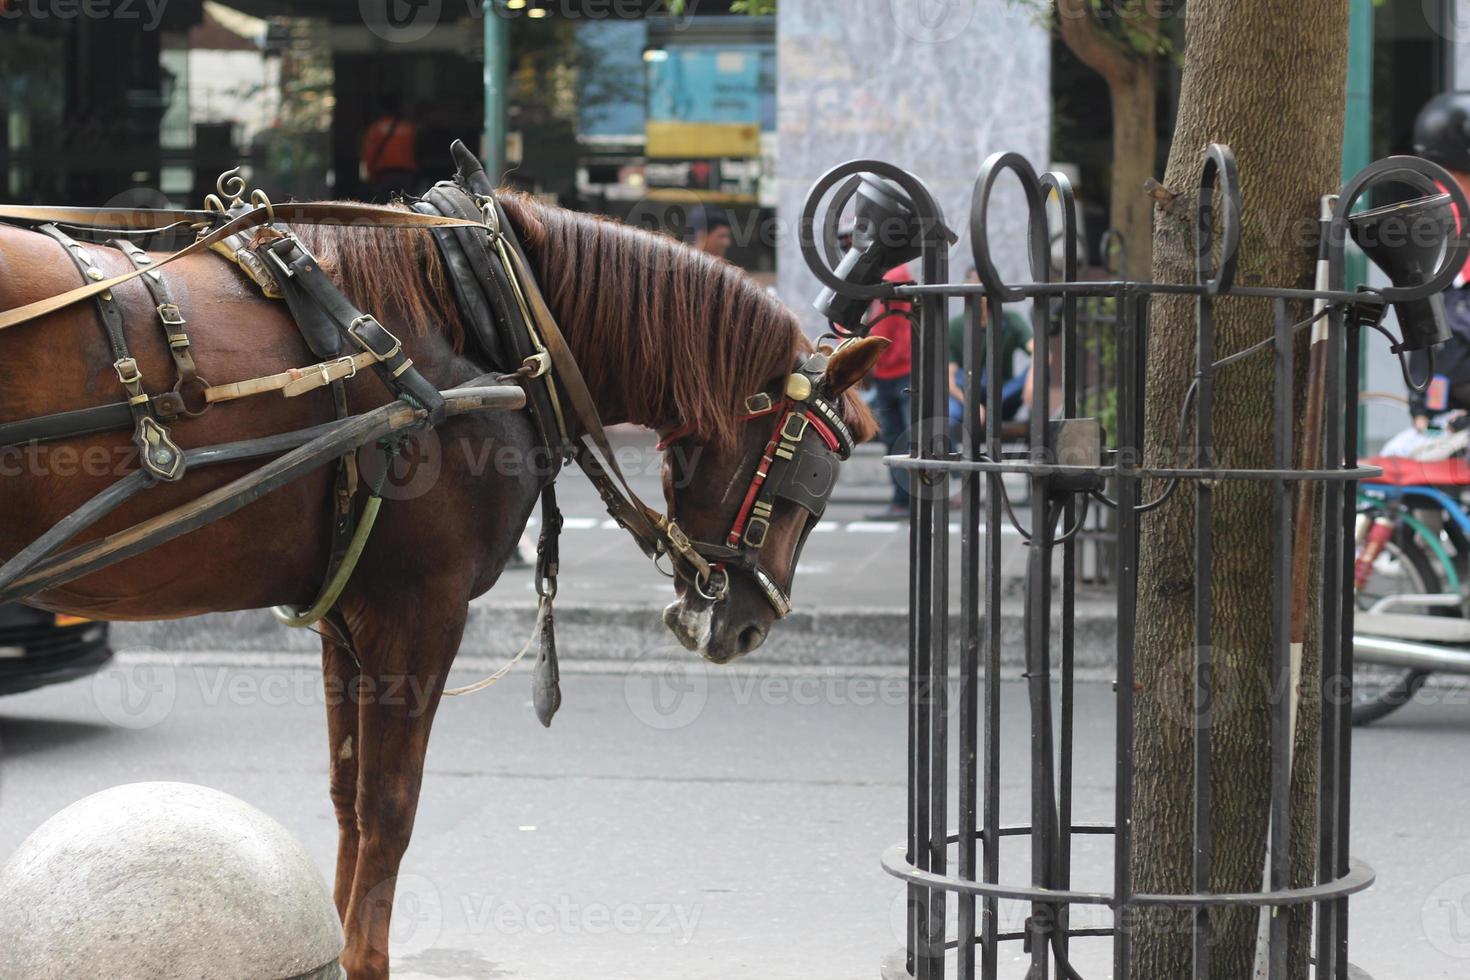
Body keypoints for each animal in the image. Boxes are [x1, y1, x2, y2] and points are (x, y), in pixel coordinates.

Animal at [0, 195, 870, 975]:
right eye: (814, 470)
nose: (749, 624)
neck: (487, 326)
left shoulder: (348, 618)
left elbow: (349, 799)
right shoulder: (420, 612)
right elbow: (390, 807)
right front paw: (365, 959)